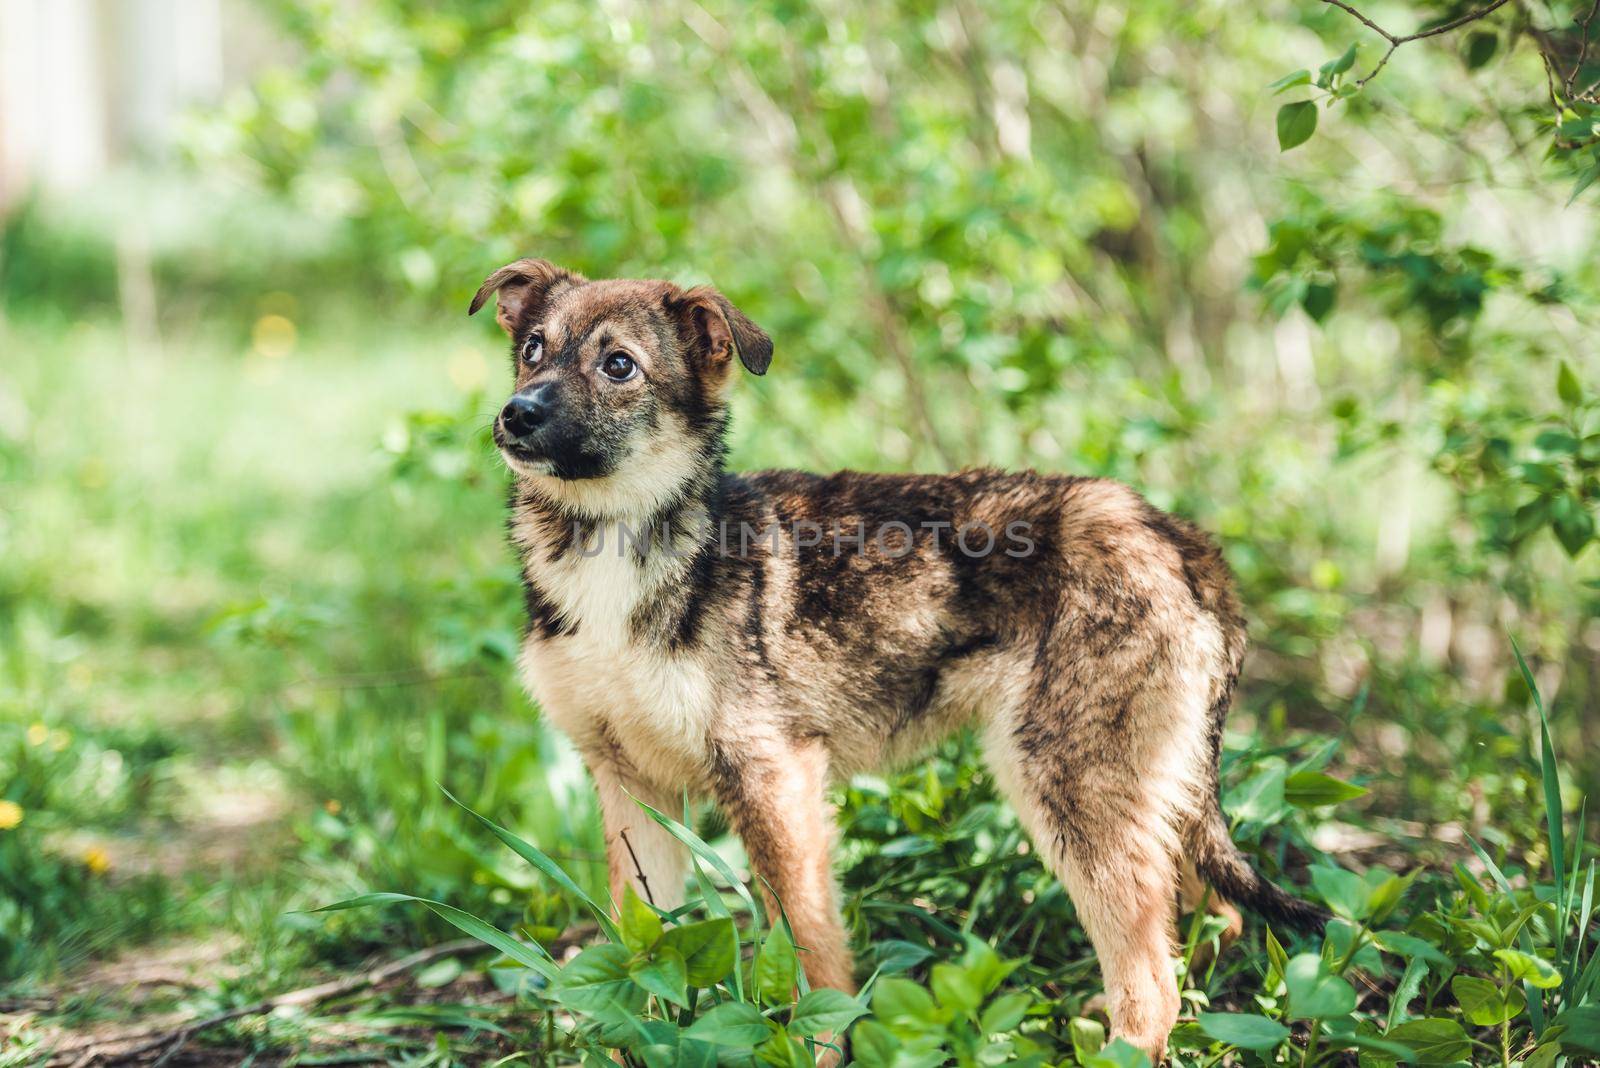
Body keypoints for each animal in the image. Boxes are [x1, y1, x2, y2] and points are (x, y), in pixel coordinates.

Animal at [467, 259, 1324, 1061]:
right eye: (533, 349)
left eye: (619, 365)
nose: (516, 414)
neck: (618, 544)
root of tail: (1176, 535)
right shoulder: (629, 783)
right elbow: (633, 950)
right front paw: (625, 1047)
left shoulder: (774, 778)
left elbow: (809, 951)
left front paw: (816, 1048)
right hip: (1140, 787)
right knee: (1209, 917)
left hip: (1068, 786)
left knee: (1152, 979)